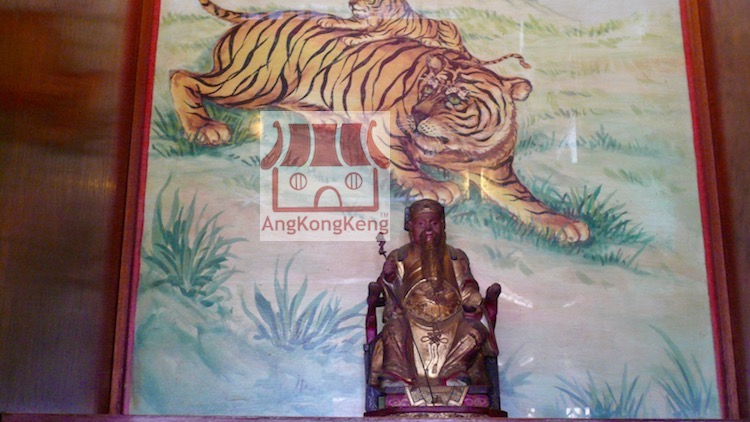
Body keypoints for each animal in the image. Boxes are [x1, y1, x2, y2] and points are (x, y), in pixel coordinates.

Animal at [317, 0, 531, 68]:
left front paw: (349, 39)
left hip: (446, 24)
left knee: (453, 47)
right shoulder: (362, 22)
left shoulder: (383, 31)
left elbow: (365, 36)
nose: (350, 3)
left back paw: (430, 41)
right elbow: (345, 22)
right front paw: (326, 21)